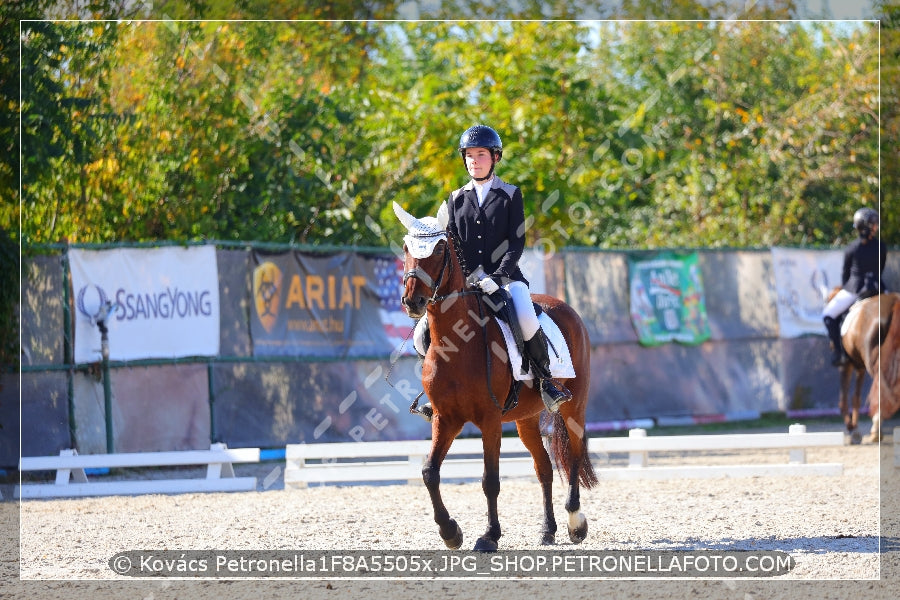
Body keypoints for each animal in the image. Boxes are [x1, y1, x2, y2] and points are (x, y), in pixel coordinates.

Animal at [394, 203, 596, 552]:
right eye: (406, 249)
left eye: (440, 249)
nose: (412, 301)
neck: (457, 342)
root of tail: (563, 306)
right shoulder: (445, 418)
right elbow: (429, 472)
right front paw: (450, 532)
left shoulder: (489, 420)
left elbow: (490, 480)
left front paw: (489, 536)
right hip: (525, 418)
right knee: (543, 467)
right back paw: (548, 530)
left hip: (574, 405)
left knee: (573, 453)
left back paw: (575, 523)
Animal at [828, 288, 900, 442]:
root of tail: (894, 302)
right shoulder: (860, 367)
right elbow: (856, 398)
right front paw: (854, 429)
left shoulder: (846, 365)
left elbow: (843, 399)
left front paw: (852, 430)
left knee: (882, 389)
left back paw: (876, 430)